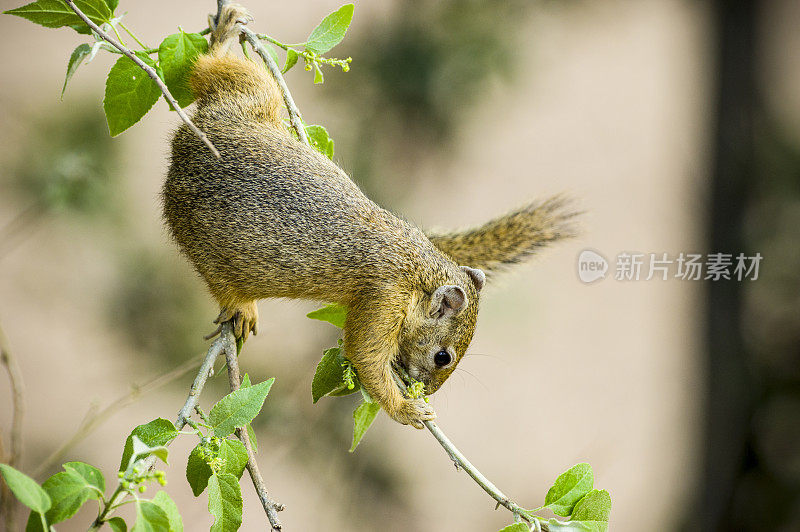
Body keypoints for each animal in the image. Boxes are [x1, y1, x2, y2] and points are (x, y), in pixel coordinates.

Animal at [161, 3, 576, 428]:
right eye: (443, 356)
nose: (427, 390)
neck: (418, 270)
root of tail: (184, 150)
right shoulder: (384, 298)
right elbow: (366, 356)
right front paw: (408, 409)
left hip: (251, 97)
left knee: (216, 70)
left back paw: (224, 32)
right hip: (219, 254)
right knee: (223, 284)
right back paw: (242, 308)